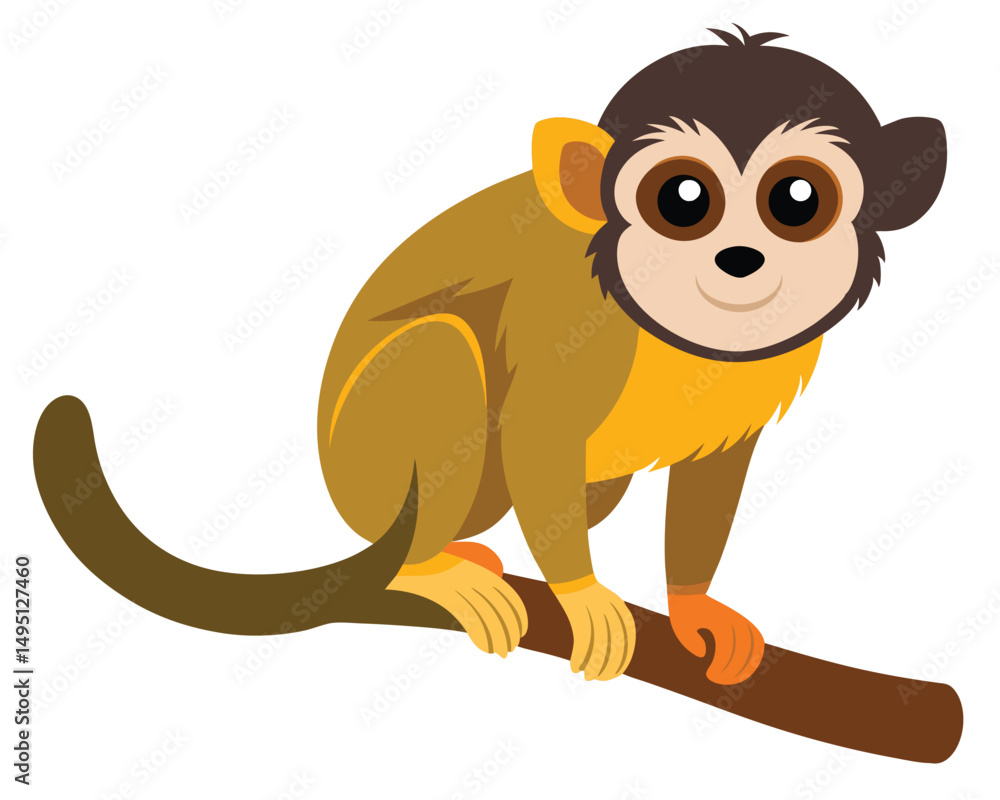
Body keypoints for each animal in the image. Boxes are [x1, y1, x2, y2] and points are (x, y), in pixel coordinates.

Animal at [34, 26, 946, 687]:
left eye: (798, 200)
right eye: (683, 199)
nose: (740, 259)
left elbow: (714, 468)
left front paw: (692, 608)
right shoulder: (581, 322)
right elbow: (538, 428)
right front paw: (583, 596)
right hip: (366, 473)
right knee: (444, 353)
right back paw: (425, 570)